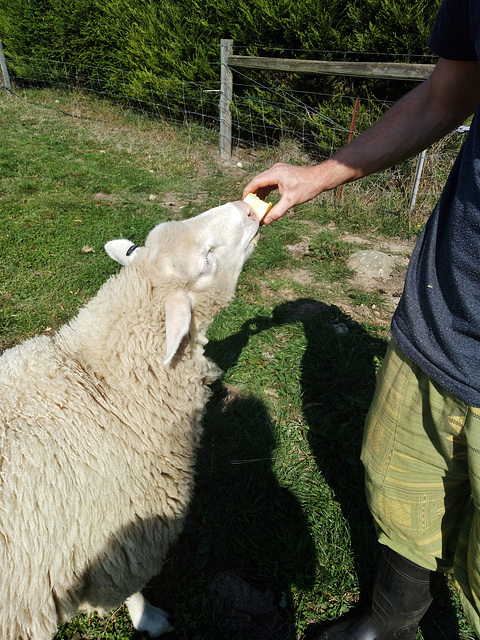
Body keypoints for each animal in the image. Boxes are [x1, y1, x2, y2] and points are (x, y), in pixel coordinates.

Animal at [0, 198, 260, 636]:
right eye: (206, 261)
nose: (247, 207)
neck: (104, 384)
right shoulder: (122, 537)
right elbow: (129, 588)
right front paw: (149, 618)